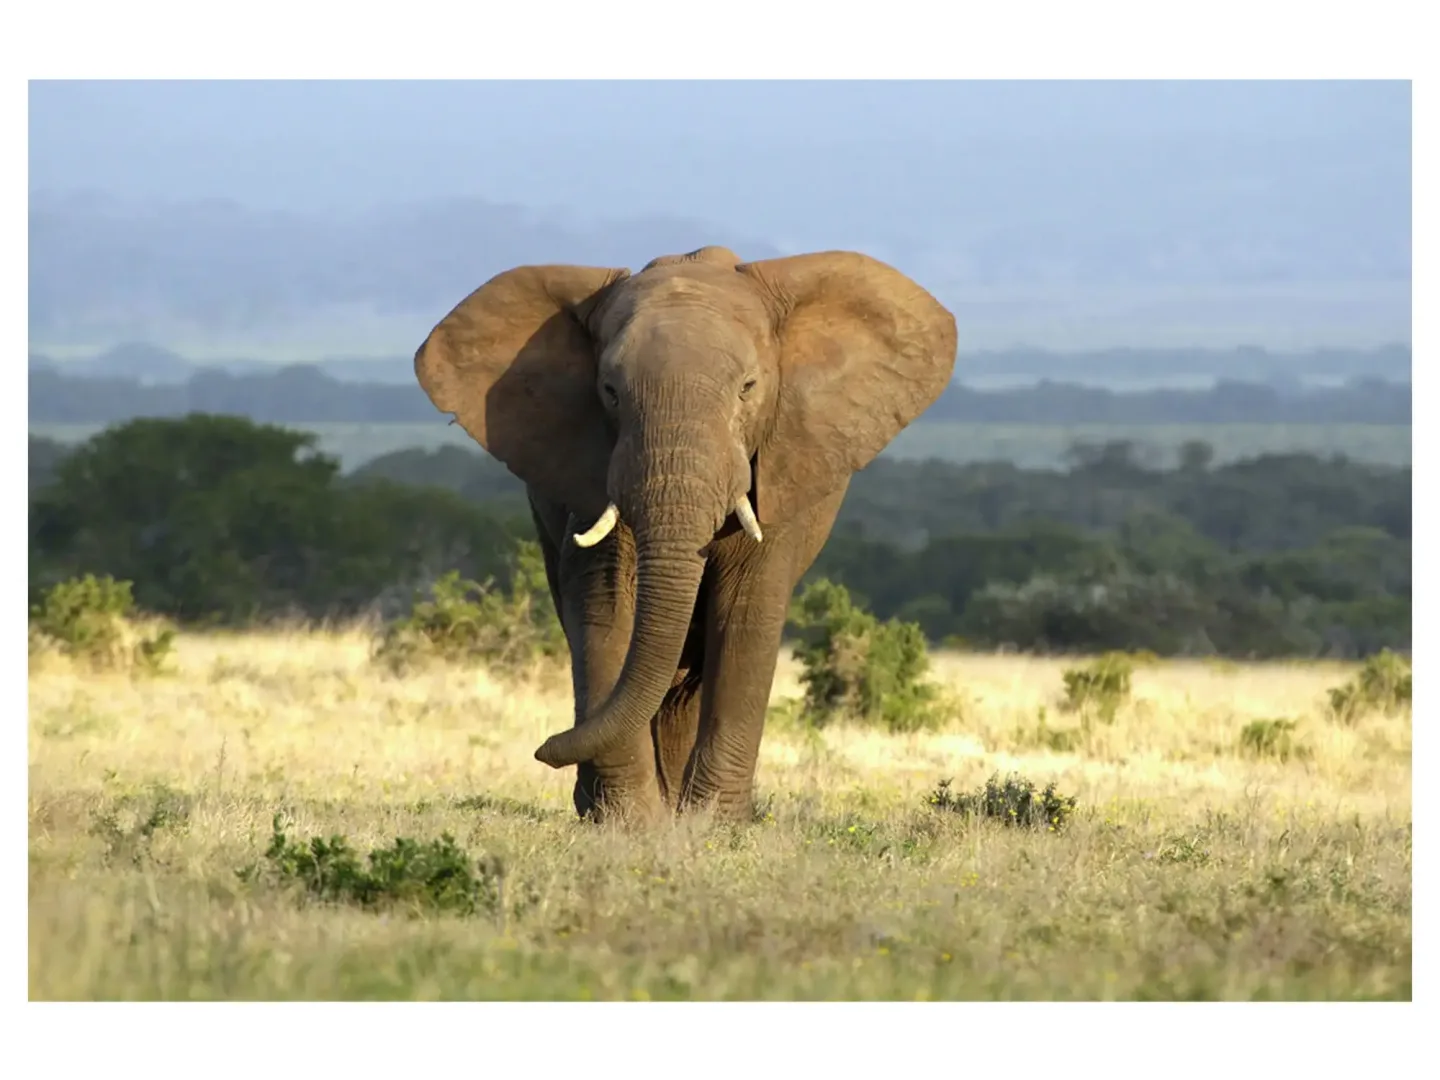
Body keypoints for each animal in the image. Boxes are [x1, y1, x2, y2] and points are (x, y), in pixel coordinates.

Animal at [413, 245, 957, 824]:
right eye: (609, 392)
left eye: (748, 388)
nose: (544, 748)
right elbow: (605, 604)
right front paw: (629, 822)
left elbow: (745, 612)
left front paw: (711, 824)